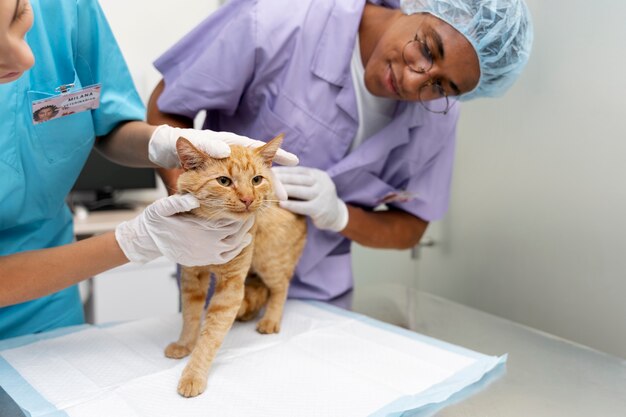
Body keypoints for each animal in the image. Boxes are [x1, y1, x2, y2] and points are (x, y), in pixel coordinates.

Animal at [165, 134, 304, 396]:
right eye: (224, 181)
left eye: (256, 180)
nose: (248, 199)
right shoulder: (191, 278)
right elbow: (190, 317)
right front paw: (184, 344)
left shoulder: (230, 287)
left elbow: (210, 336)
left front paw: (193, 374)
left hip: (269, 262)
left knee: (280, 288)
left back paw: (270, 320)